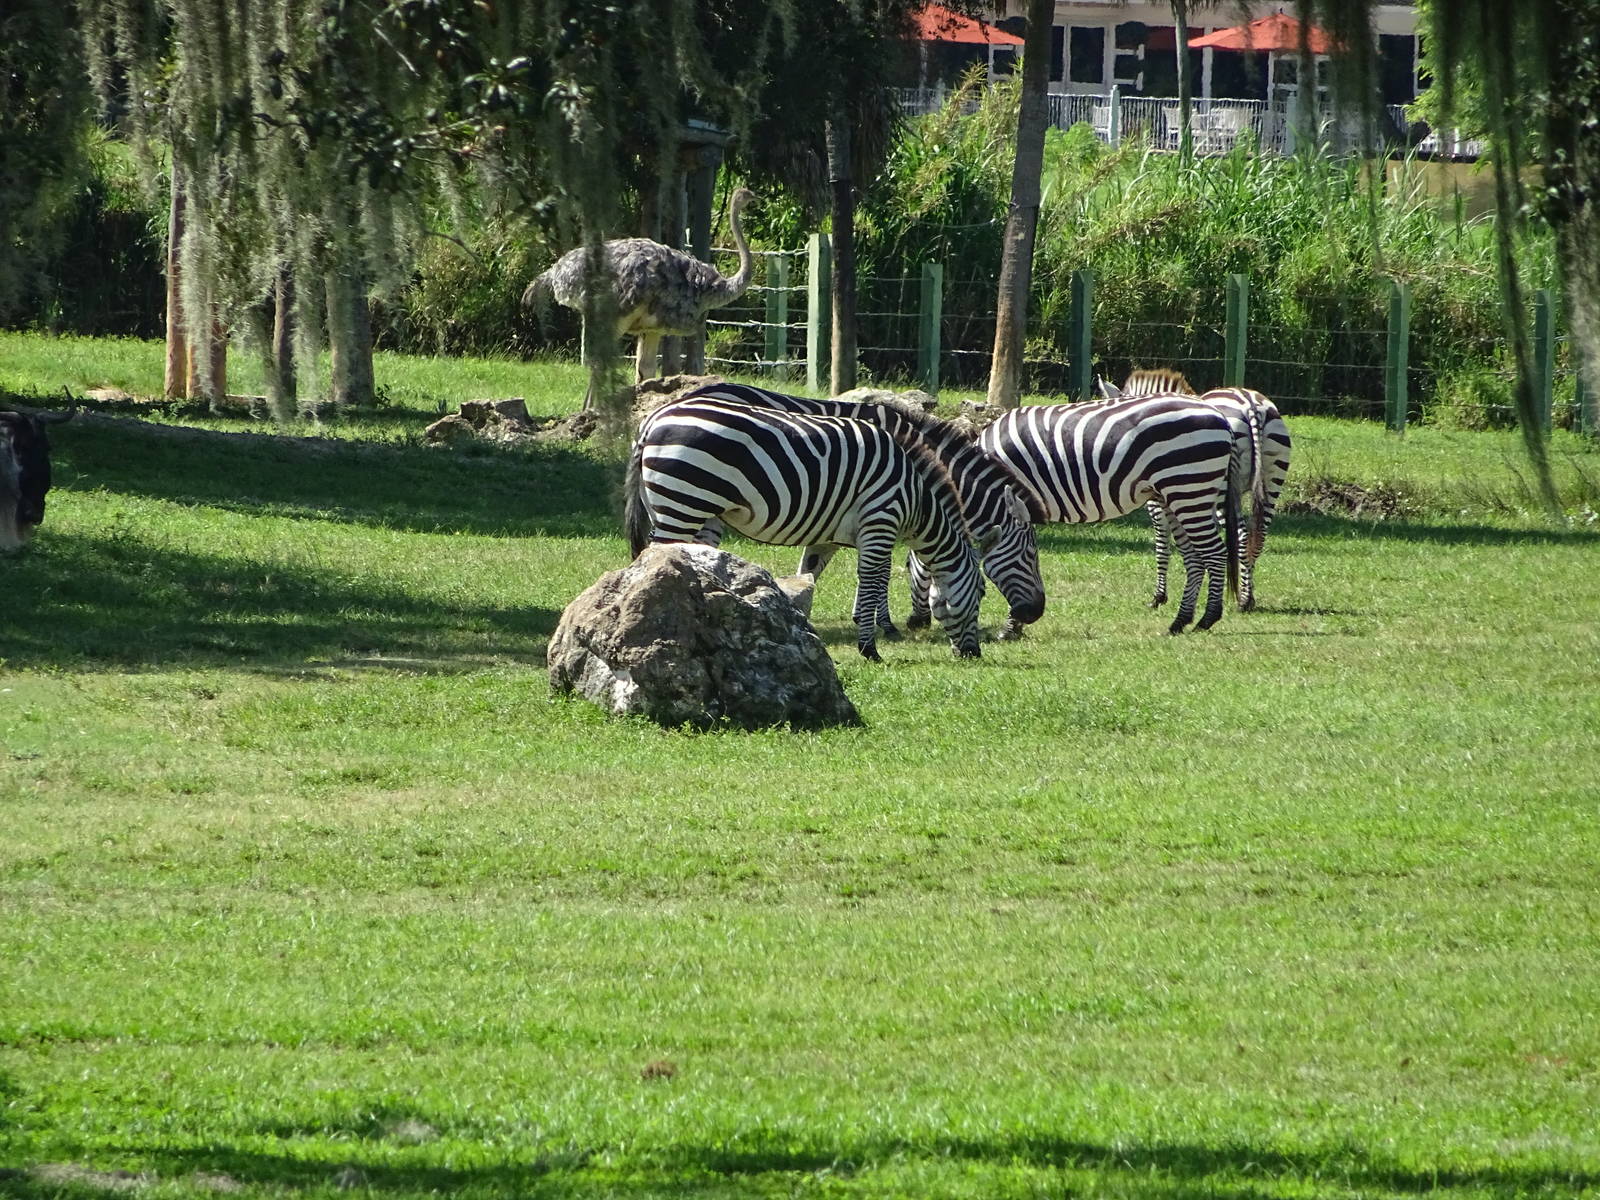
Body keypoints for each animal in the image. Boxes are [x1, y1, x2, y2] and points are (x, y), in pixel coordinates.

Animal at [625, 395, 986, 660]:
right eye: (982, 593)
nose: (974, 654)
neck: (916, 497)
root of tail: (654, 419)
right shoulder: (880, 522)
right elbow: (874, 581)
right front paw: (870, 649)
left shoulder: (830, 537)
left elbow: (811, 574)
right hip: (683, 501)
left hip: (671, 504)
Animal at [908, 393, 1259, 635]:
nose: (915, 622)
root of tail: (1219, 415)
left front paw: (1011, 628)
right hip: (1179, 493)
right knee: (1195, 557)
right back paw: (1180, 621)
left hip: (1191, 487)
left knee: (1215, 553)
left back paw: (1207, 619)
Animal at [1100, 369, 1291, 611]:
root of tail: (1250, 404)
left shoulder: (1161, 499)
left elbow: (1163, 544)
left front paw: (1160, 596)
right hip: (1273, 480)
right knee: (1258, 537)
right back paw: (1248, 596)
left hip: (1226, 492)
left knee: (1241, 536)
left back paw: (1242, 600)